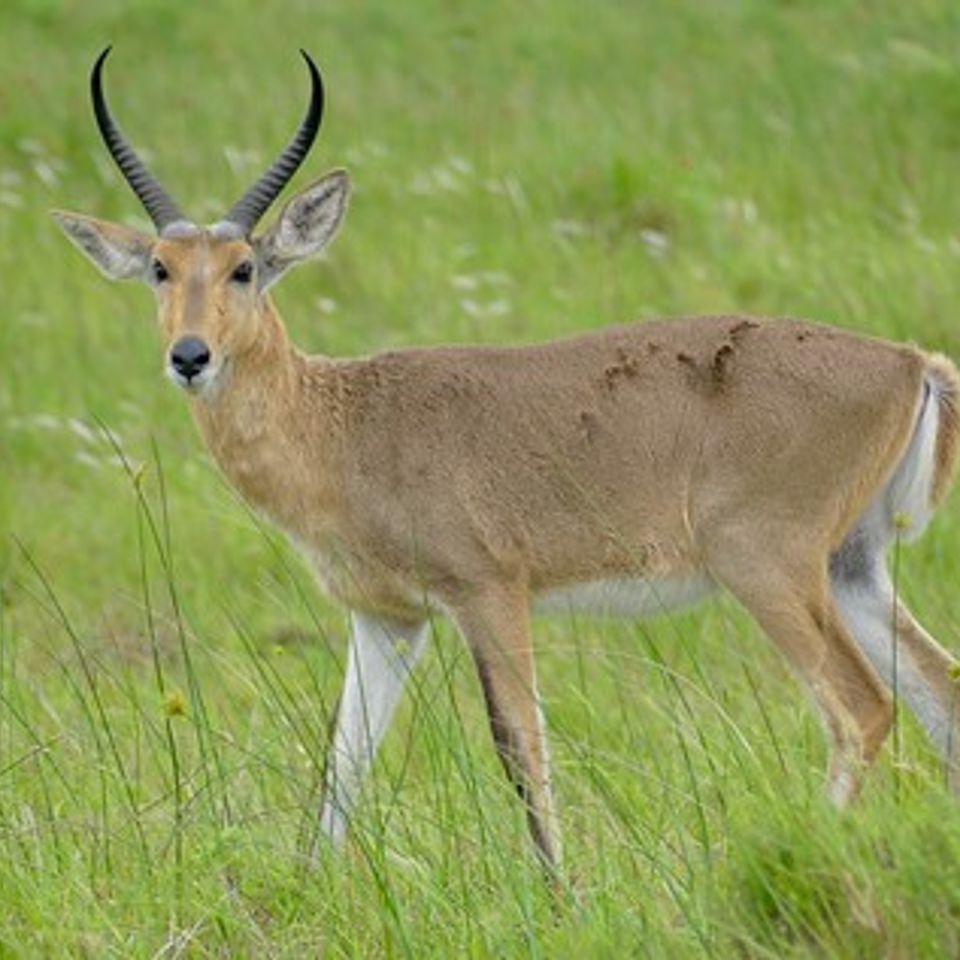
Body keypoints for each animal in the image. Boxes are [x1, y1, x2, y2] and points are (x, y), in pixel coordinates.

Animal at [56, 47, 960, 872]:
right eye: (161, 269)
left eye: (244, 268)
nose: (190, 355)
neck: (344, 423)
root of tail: (910, 362)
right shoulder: (388, 617)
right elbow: (343, 762)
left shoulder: (488, 592)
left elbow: (519, 745)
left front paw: (561, 893)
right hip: (851, 567)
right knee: (940, 695)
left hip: (766, 565)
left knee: (862, 709)